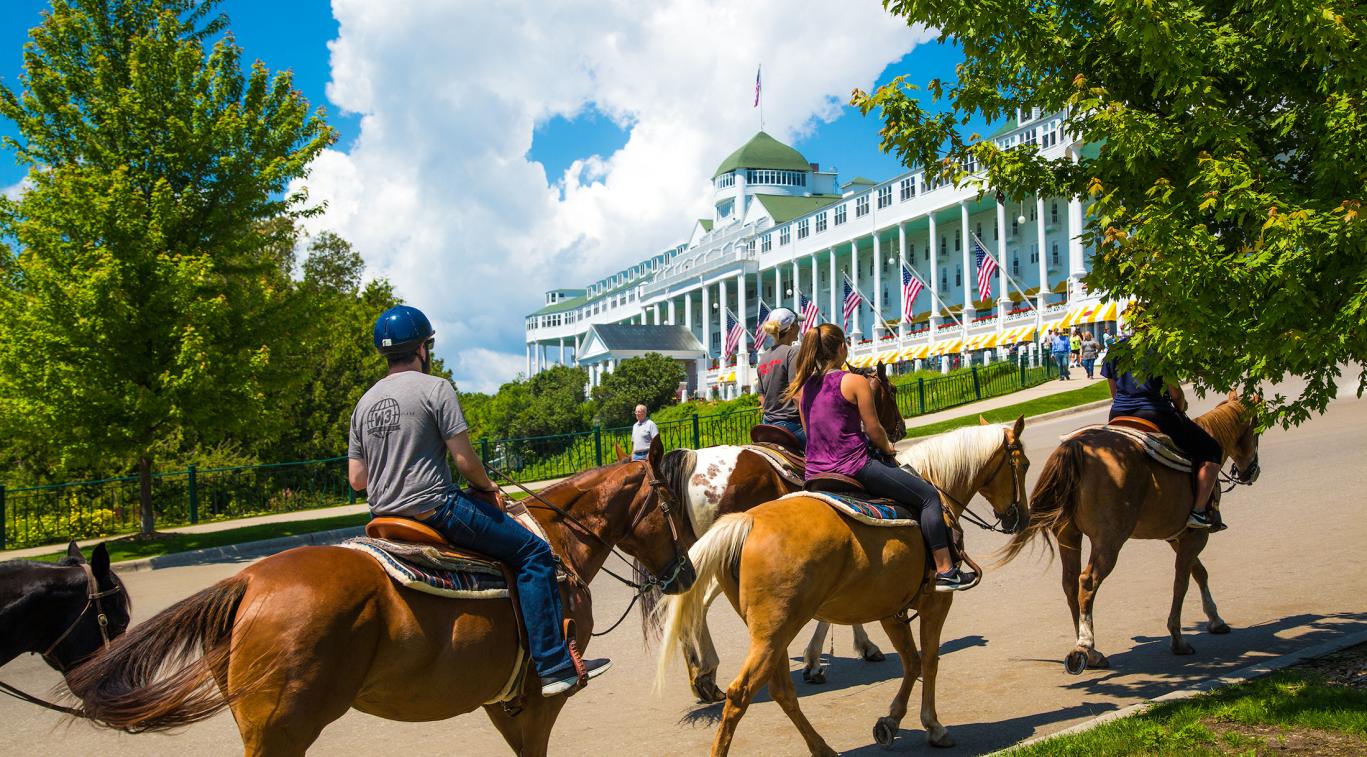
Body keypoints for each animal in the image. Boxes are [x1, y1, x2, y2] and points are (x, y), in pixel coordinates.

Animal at [61, 437, 694, 754]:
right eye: (670, 503)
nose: (686, 574)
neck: (556, 543)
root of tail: (247, 580)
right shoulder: (542, 697)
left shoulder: (503, 699)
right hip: (280, 732)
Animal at [653, 363, 907, 699]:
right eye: (891, 391)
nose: (900, 429)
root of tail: (694, 462)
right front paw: (827, 657)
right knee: (698, 602)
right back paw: (706, 671)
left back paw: (700, 676)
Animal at [656, 415, 1027, 748]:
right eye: (1022, 465)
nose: (1020, 518)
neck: (935, 487)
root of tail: (746, 522)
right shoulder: (936, 602)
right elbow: (930, 661)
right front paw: (933, 726)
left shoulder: (890, 610)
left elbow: (912, 662)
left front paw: (890, 721)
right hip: (774, 632)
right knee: (740, 692)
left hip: (771, 635)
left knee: (780, 689)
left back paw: (820, 745)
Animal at [1000, 390, 1263, 669]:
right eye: (1256, 427)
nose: (1251, 471)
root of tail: (1078, 447)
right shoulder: (1196, 535)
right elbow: (1181, 582)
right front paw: (1178, 639)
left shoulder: (1178, 536)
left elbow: (1199, 572)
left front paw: (1215, 619)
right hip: (1109, 540)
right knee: (1088, 582)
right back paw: (1086, 647)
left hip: (1068, 535)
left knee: (1070, 583)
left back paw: (1089, 650)